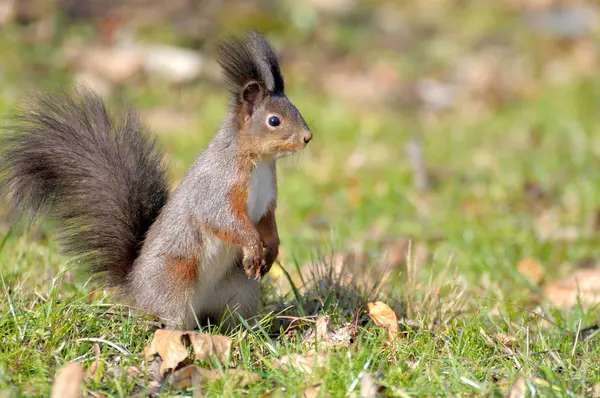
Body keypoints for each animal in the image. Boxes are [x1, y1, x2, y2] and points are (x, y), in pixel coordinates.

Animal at [0, 30, 312, 330]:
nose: (307, 137)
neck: (257, 162)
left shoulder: (267, 200)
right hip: (176, 281)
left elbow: (268, 224)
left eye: (296, 109)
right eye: (274, 121)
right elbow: (224, 220)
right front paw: (252, 246)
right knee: (170, 318)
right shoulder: (216, 187)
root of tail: (135, 293)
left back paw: (255, 331)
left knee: (231, 317)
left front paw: (270, 251)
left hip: (239, 289)